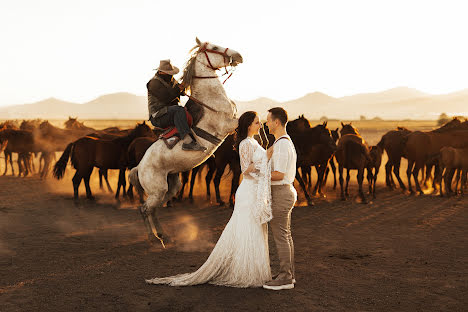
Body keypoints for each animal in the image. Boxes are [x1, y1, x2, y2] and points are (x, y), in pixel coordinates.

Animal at [130, 37, 243, 245]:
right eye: (214, 47)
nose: (239, 56)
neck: (210, 99)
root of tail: (139, 167)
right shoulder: (228, 124)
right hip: (157, 190)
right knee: (144, 209)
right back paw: (153, 238)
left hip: (170, 187)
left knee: (154, 209)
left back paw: (163, 235)